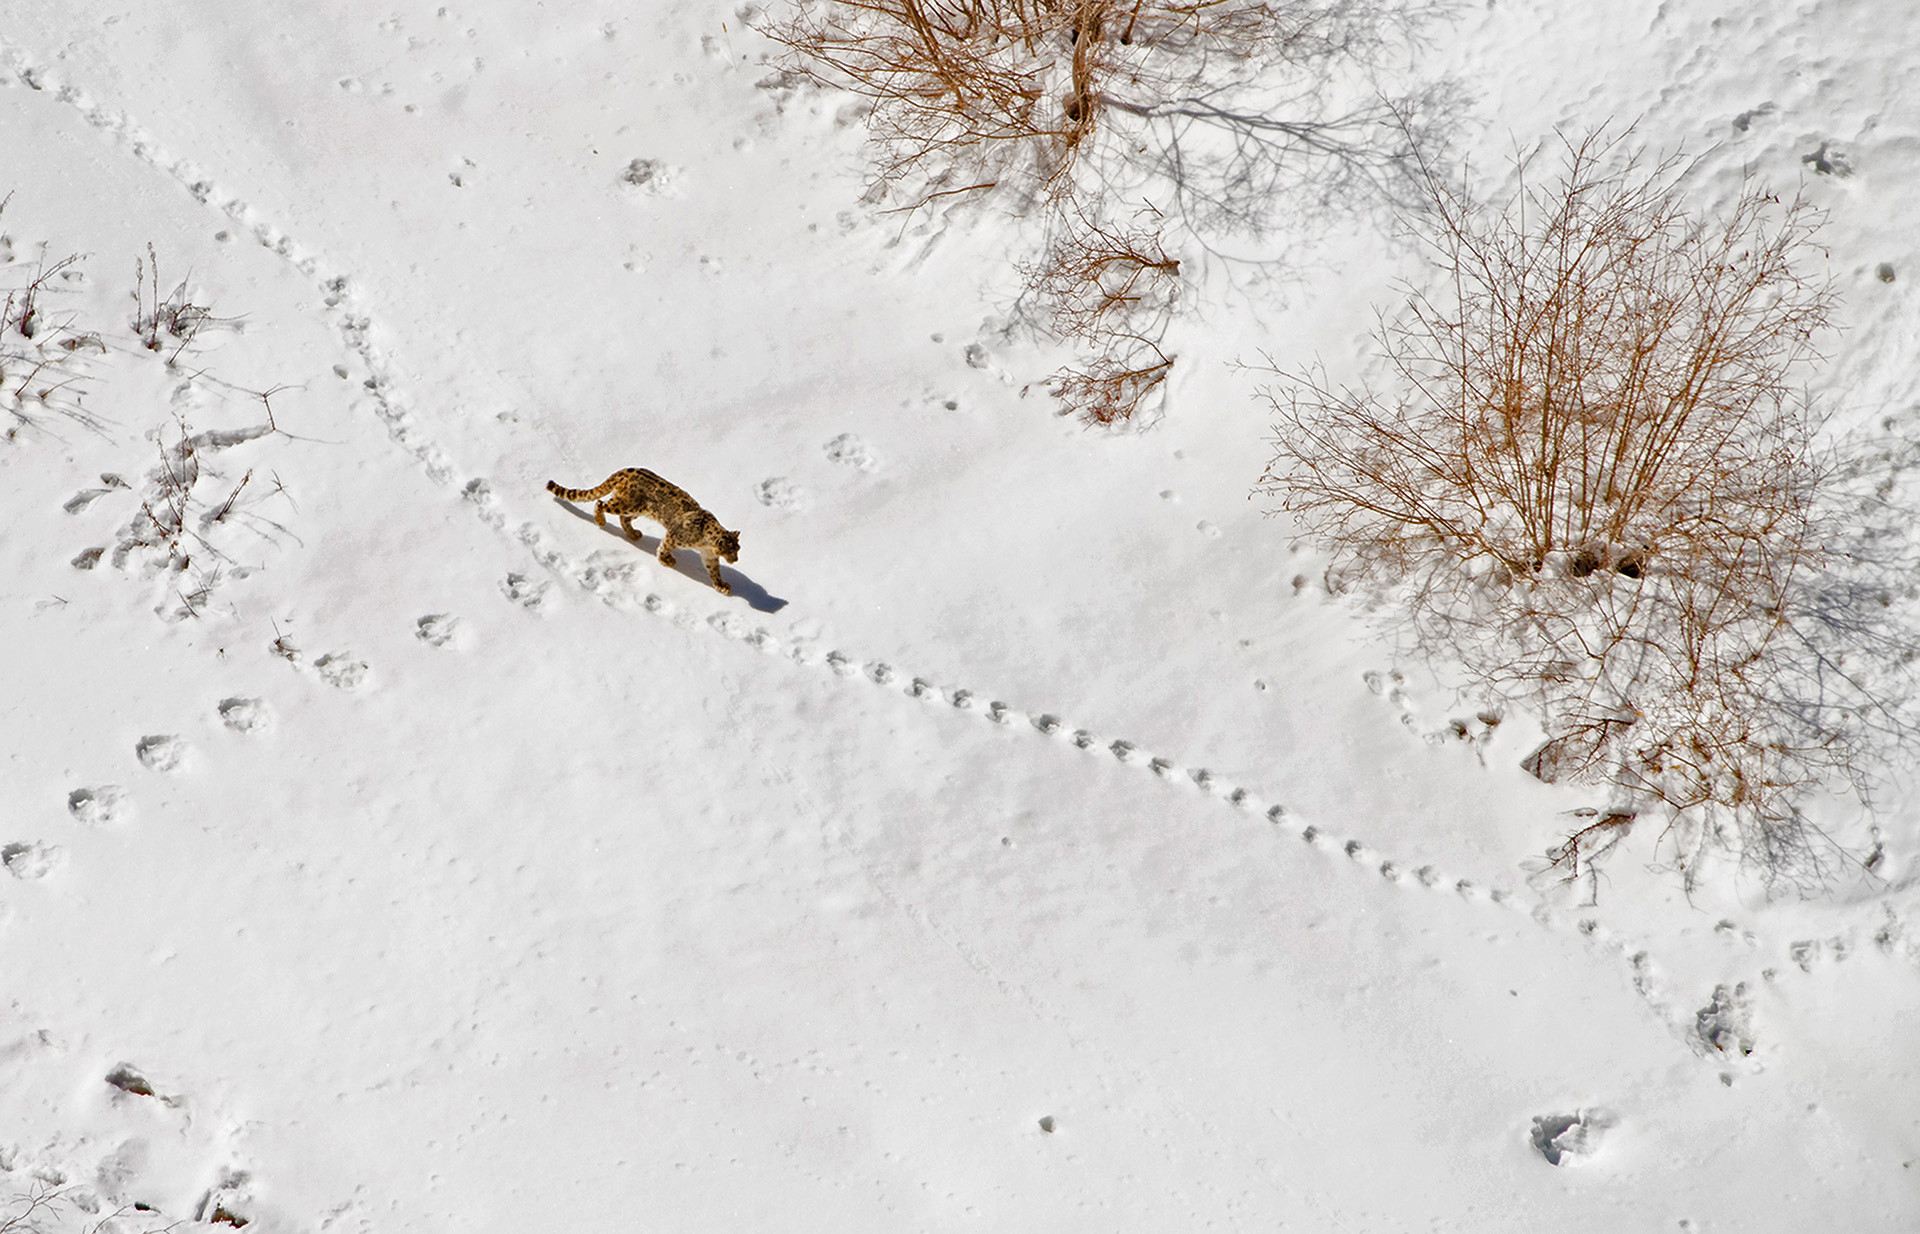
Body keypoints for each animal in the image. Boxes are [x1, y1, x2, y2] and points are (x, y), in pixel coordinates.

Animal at [546, 468, 742, 594]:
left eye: (738, 549)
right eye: (730, 550)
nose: (736, 560)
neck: (705, 544)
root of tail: (627, 470)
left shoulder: (709, 555)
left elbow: (713, 571)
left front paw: (721, 585)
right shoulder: (674, 537)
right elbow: (664, 547)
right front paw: (667, 560)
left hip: (638, 509)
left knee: (623, 518)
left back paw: (633, 534)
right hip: (625, 504)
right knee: (601, 503)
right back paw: (601, 521)